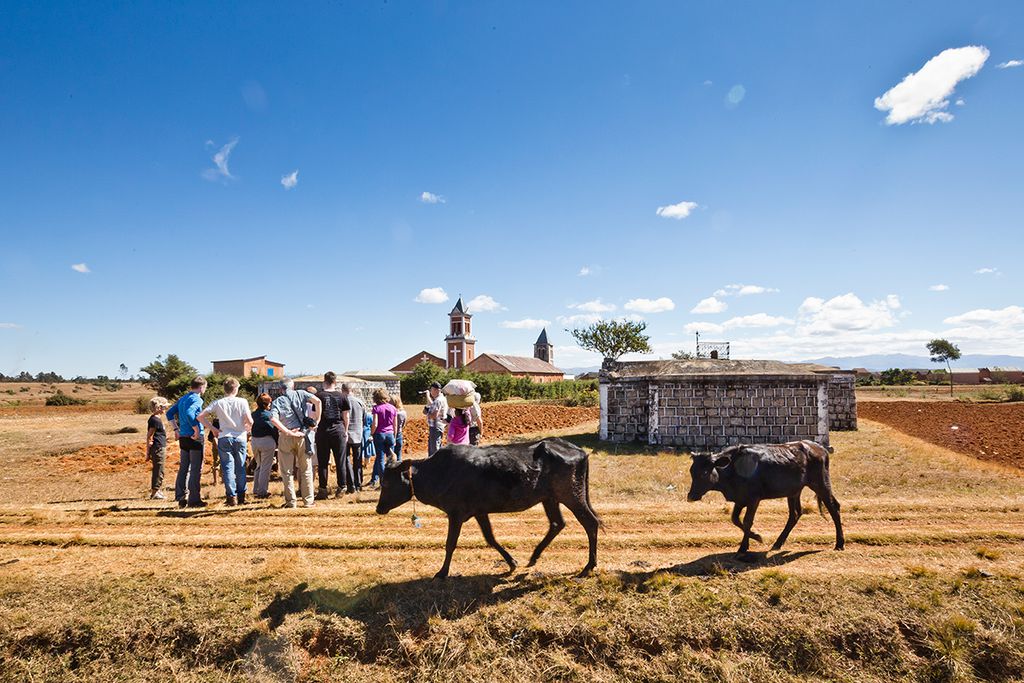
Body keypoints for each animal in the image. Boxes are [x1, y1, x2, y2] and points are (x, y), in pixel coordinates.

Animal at [374, 438, 598, 577]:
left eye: (386, 483)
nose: (379, 508)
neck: (436, 473)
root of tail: (580, 452)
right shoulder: (479, 512)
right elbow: (490, 538)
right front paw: (512, 562)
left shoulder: (455, 513)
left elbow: (450, 543)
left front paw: (442, 572)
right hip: (549, 498)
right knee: (557, 523)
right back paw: (534, 557)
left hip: (572, 496)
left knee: (590, 523)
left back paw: (588, 566)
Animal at [684, 440, 843, 557]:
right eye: (692, 471)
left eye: (705, 472)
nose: (691, 496)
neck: (734, 469)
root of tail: (819, 447)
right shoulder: (740, 499)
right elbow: (735, 519)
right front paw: (756, 537)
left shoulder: (754, 499)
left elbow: (747, 521)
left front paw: (743, 548)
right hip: (794, 492)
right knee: (795, 514)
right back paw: (777, 544)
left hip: (821, 484)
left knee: (833, 507)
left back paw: (839, 544)